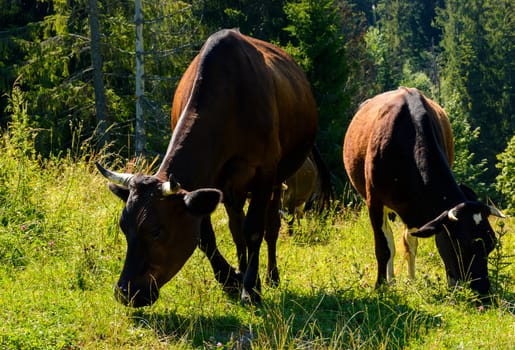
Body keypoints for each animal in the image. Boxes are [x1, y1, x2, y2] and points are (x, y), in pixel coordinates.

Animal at [96, 29, 318, 306]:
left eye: (157, 231)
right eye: (124, 227)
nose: (125, 292)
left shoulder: (264, 174)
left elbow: (254, 230)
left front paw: (250, 289)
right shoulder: (207, 182)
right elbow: (206, 236)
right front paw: (231, 279)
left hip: (278, 179)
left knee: (270, 227)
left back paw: (269, 277)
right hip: (233, 189)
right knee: (236, 227)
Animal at [344, 87, 506, 296]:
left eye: (492, 244)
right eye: (460, 246)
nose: (483, 292)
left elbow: (411, 243)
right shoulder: (374, 202)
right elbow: (383, 248)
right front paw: (380, 287)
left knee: (408, 242)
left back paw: (410, 280)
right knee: (390, 241)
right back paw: (391, 280)